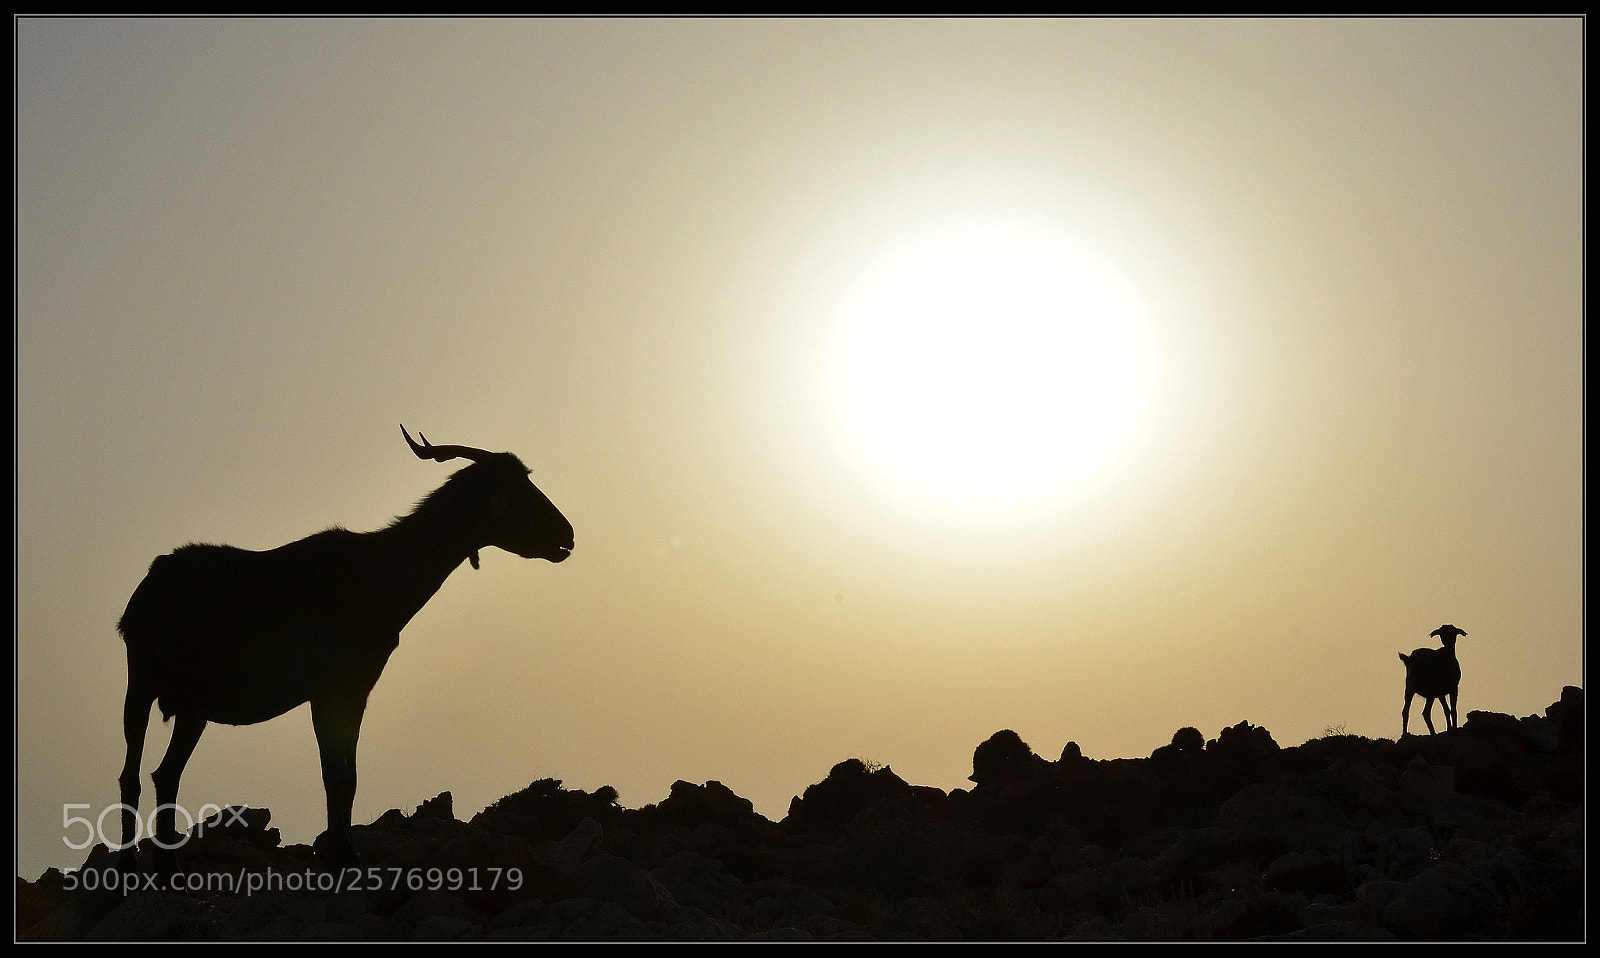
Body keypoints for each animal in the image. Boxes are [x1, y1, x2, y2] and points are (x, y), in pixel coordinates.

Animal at [115, 426, 574, 870]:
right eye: (516, 490)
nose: (567, 535)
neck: (380, 575)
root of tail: (145, 591)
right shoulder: (333, 689)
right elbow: (337, 775)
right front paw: (343, 853)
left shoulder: (354, 690)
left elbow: (345, 776)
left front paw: (342, 849)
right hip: (142, 682)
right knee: (131, 774)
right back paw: (129, 863)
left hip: (192, 707)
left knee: (165, 773)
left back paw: (167, 863)